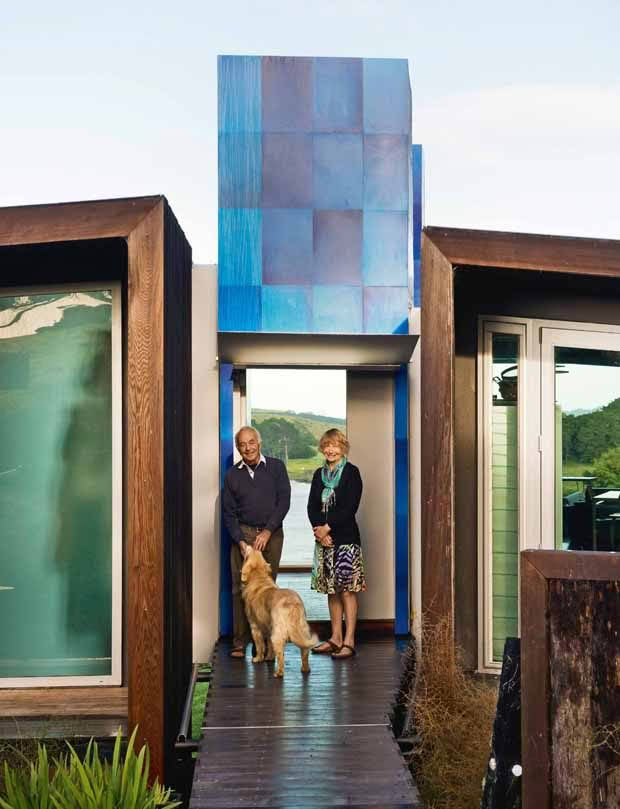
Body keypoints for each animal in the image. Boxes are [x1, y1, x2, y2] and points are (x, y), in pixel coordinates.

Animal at [241, 548, 318, 676]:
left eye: (249, 554)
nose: (255, 546)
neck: (259, 578)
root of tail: (293, 603)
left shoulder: (255, 627)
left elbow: (260, 645)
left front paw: (258, 658)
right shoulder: (268, 627)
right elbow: (269, 646)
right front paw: (269, 657)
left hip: (278, 633)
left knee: (281, 655)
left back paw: (279, 673)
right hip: (302, 629)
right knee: (305, 650)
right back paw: (305, 668)